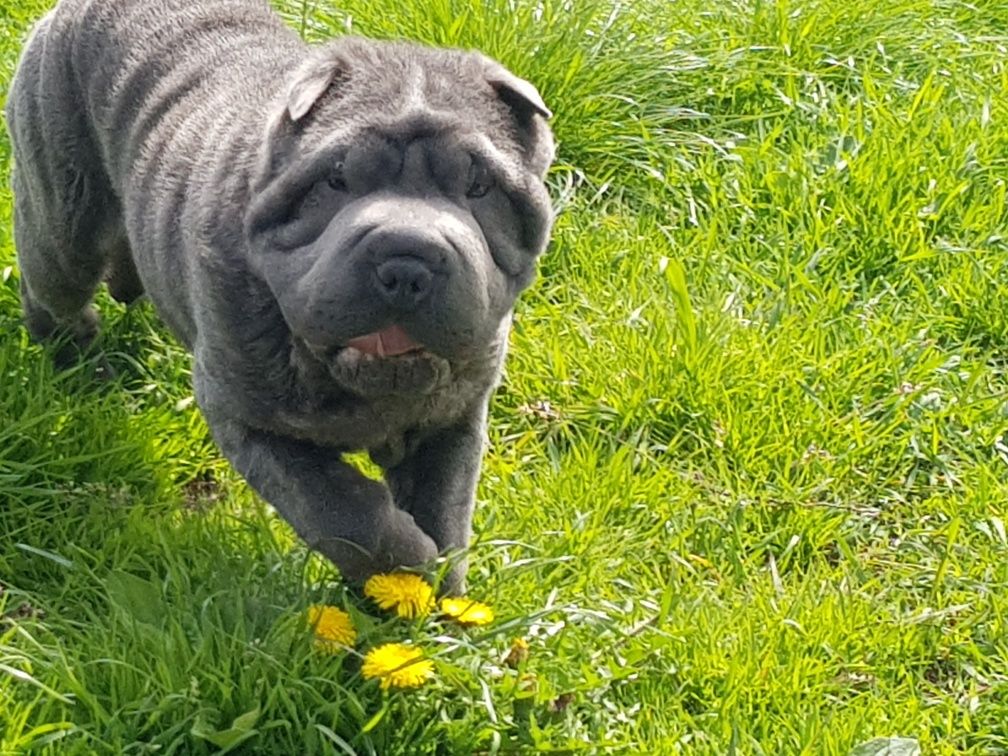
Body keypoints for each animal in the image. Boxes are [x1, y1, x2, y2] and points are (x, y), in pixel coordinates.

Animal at [3, 0, 556, 592]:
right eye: (336, 179)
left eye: (479, 188)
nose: (407, 262)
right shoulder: (252, 421)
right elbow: (343, 513)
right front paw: (407, 566)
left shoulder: (453, 420)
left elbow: (445, 510)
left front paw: (434, 597)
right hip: (64, 217)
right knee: (52, 289)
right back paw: (81, 365)